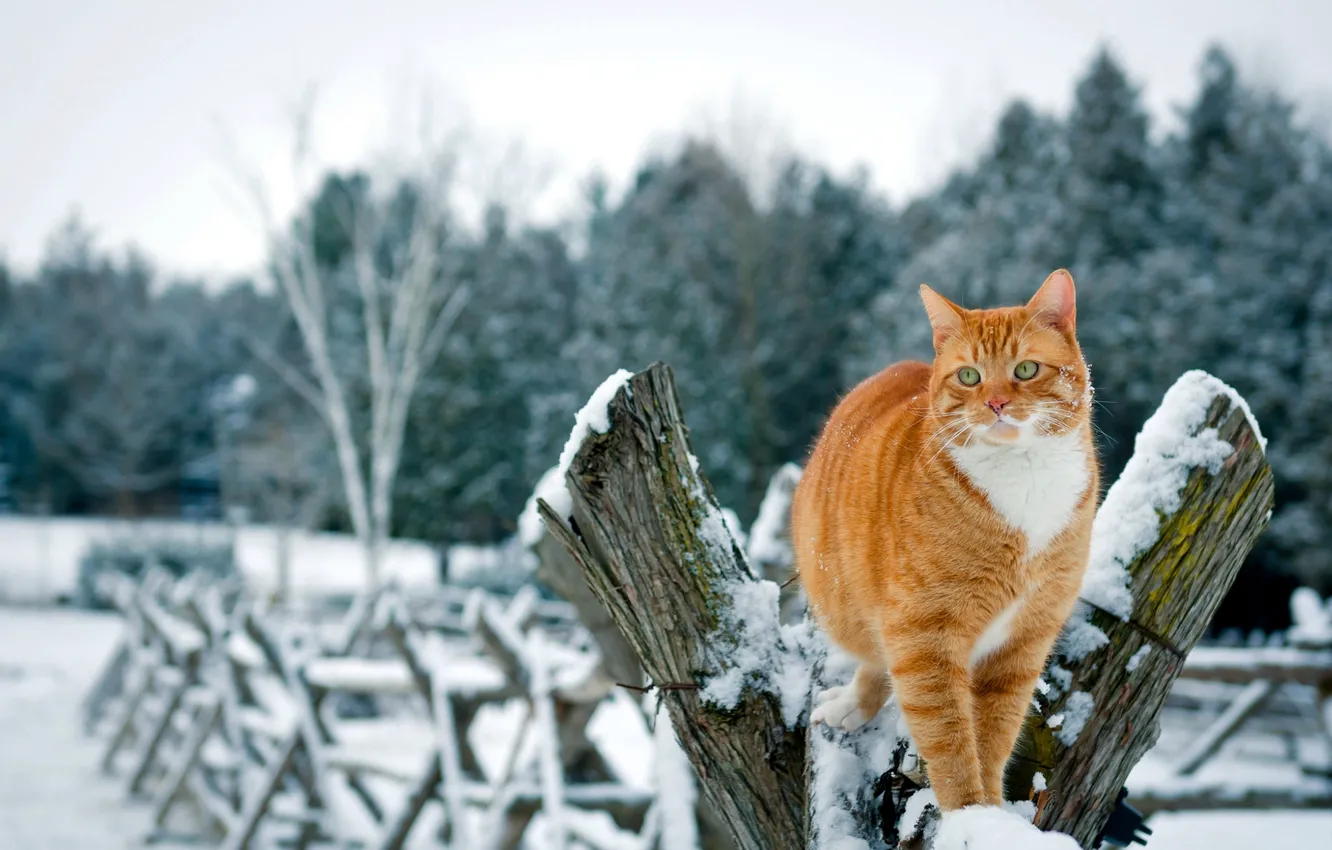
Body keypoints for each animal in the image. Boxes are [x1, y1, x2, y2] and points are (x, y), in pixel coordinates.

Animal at [793, 273, 1097, 810]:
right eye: (970, 377)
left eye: (1025, 369)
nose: (996, 403)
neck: (1024, 475)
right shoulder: (923, 634)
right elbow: (949, 738)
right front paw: (968, 814)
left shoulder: (1024, 642)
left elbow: (994, 735)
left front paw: (992, 810)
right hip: (854, 605)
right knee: (876, 659)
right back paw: (854, 704)